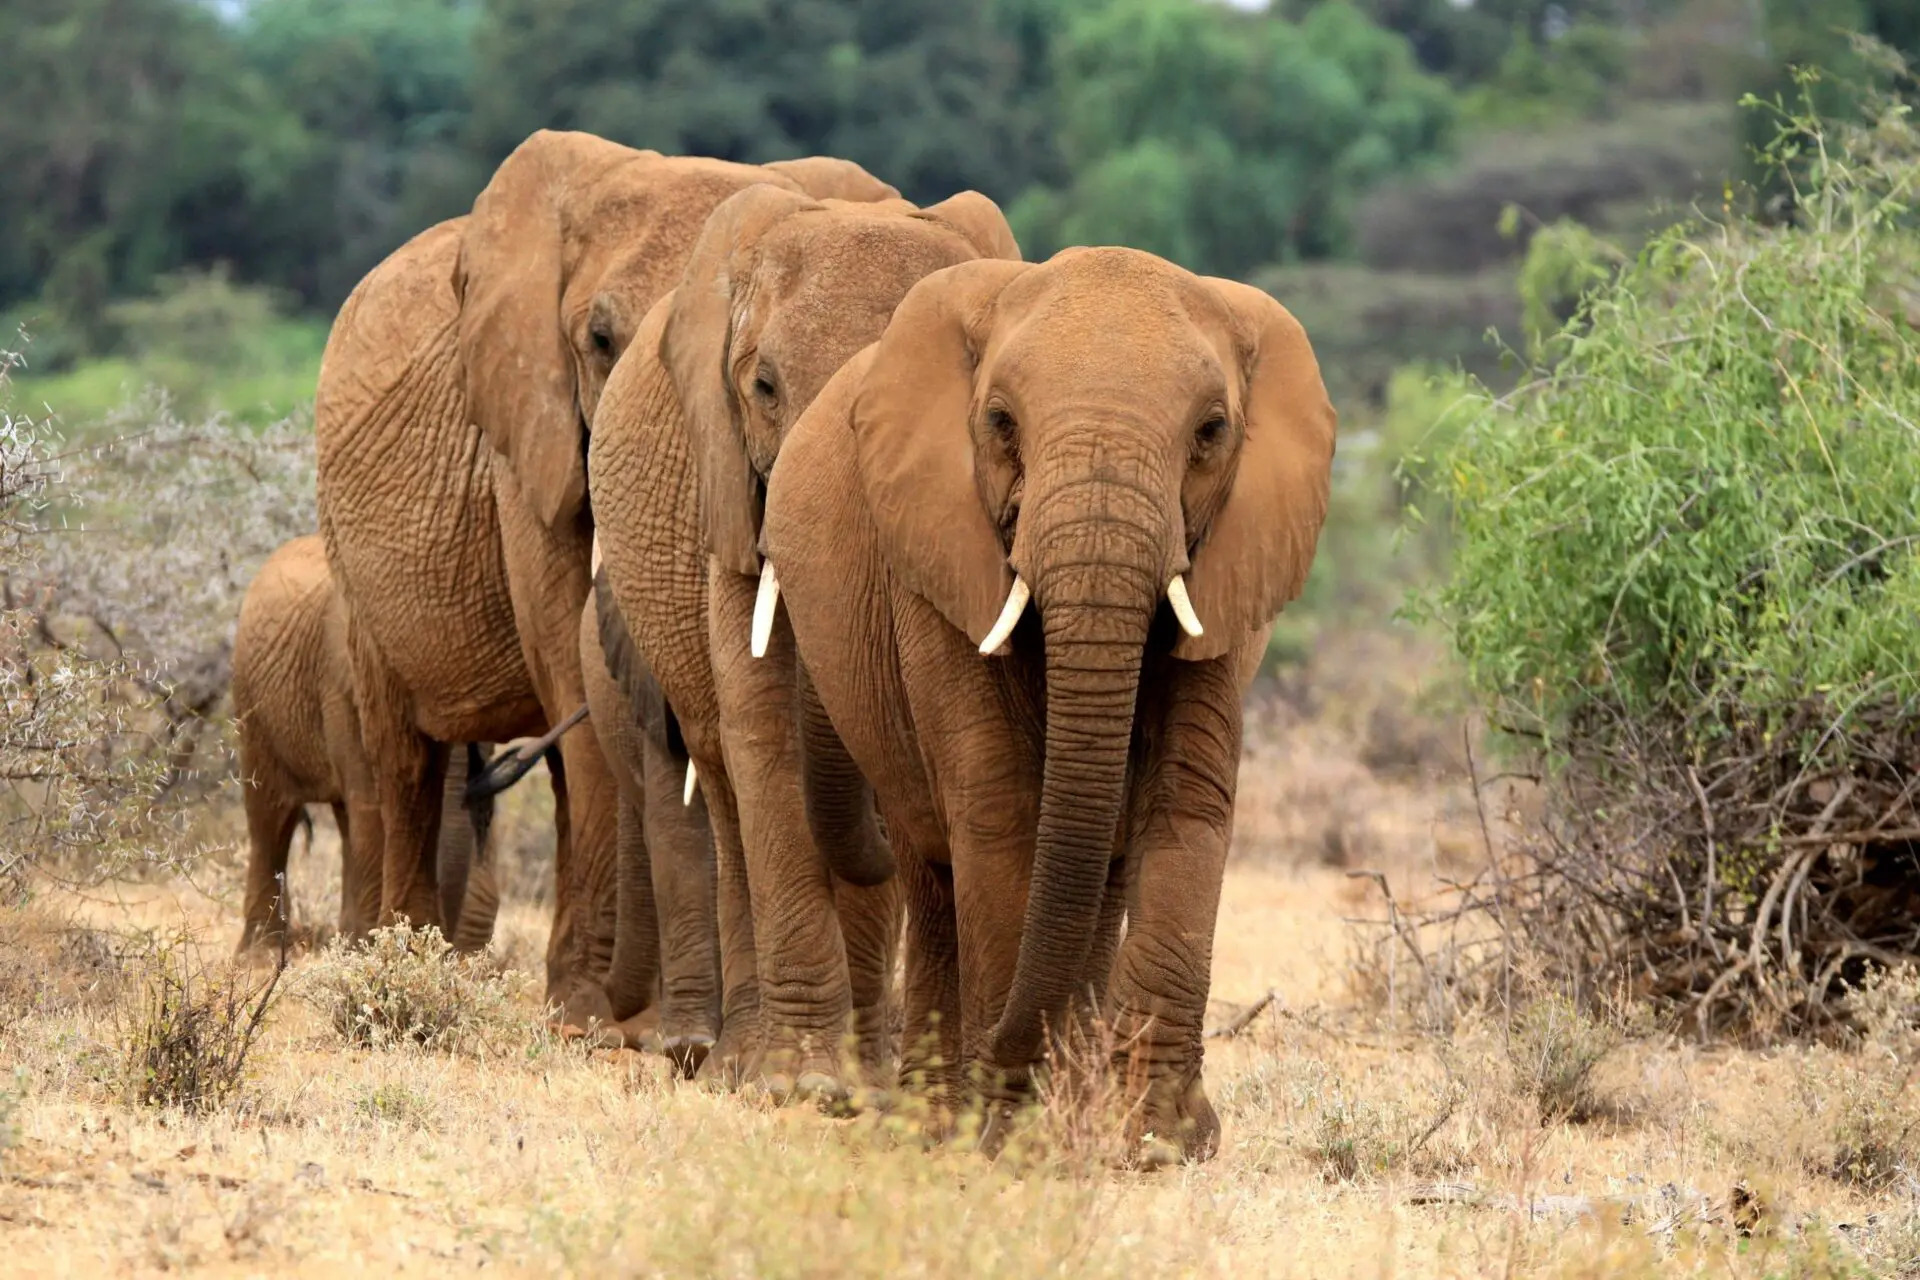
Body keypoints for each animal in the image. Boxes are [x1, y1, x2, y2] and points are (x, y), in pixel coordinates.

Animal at [232, 536, 499, 956]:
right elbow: (370, 802)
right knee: (271, 816)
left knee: (341, 822)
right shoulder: (338, 684)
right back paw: (258, 957)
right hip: (253, 702)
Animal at [312, 130, 898, 1023]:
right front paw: (586, 1006)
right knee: (403, 752)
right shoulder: (527, 431)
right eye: (596, 340)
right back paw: (398, 956)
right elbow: (568, 652)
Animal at [587, 183, 1021, 1089]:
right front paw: (797, 1082)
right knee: (721, 775)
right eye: (763, 386)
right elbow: (761, 722)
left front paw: (839, 1079)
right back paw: (737, 1060)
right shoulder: (724, 482)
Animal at [761, 248, 1337, 1159]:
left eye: (1212, 432)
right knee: (935, 867)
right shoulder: (936, 553)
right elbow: (1000, 807)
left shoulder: (1229, 571)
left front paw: (1157, 1141)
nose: (1007, 1050)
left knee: (1096, 876)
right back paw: (943, 1117)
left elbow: (1187, 800)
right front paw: (1011, 1129)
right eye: (1000, 422)